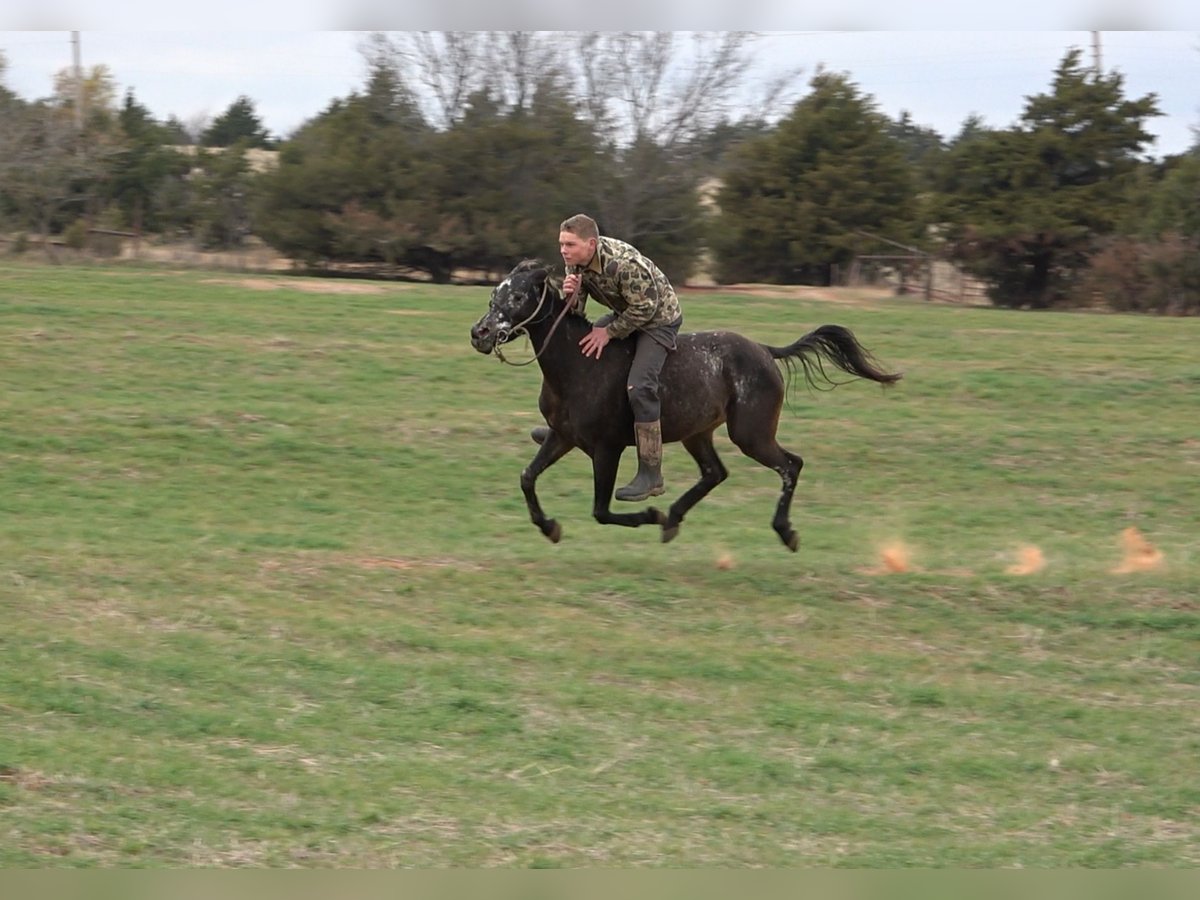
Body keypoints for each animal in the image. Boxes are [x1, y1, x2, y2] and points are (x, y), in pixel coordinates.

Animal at [468, 260, 902, 549]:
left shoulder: (606, 449)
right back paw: (674, 519)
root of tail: (764, 351)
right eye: (493, 294)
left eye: (518, 295)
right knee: (715, 472)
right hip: (700, 434)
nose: (480, 333)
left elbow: (601, 510)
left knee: (790, 465)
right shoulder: (562, 437)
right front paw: (549, 526)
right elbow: (527, 477)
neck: (580, 364)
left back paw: (784, 531)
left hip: (752, 435)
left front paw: (649, 512)